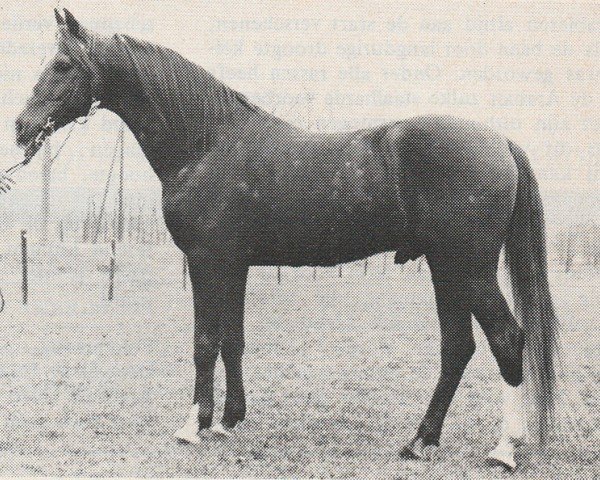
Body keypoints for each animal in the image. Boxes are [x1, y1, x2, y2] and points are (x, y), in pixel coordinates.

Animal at [14, 9, 560, 470]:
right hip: (447, 270)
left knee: (507, 341)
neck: (209, 141)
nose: (22, 128)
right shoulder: (234, 265)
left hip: (469, 269)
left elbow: (204, 341)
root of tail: (500, 141)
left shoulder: (206, 261)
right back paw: (419, 441)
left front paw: (193, 425)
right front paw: (229, 421)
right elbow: (232, 340)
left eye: (63, 64)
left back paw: (503, 450)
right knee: (458, 348)